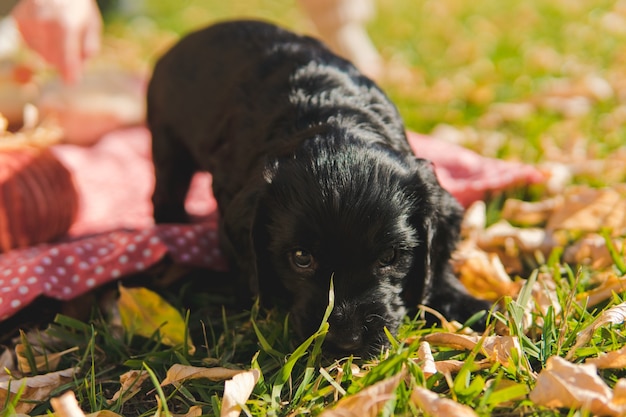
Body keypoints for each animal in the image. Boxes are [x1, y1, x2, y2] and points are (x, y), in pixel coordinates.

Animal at [147, 19, 488, 356]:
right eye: (301, 257)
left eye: (390, 256)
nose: (347, 342)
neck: (331, 115)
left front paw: (468, 304)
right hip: (167, 138)